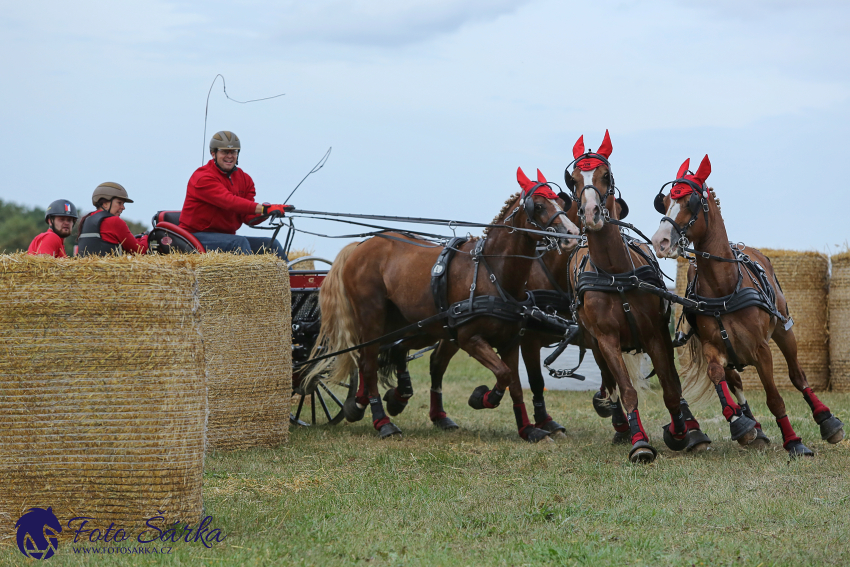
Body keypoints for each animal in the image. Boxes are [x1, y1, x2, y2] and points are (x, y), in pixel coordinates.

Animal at [308, 171, 580, 442]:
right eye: (539, 206)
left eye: (560, 201)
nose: (571, 233)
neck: (493, 274)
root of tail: (360, 246)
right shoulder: (470, 338)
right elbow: (504, 375)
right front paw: (481, 397)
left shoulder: (511, 342)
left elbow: (514, 383)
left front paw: (527, 428)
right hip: (372, 318)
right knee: (368, 363)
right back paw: (382, 420)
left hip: (414, 324)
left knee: (389, 353)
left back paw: (379, 401)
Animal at [564, 131, 704, 464]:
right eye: (573, 180)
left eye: (606, 175)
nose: (592, 214)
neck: (616, 274)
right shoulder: (606, 341)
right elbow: (627, 390)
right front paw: (639, 441)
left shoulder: (656, 334)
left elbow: (671, 387)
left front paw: (682, 431)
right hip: (594, 344)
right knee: (610, 382)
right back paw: (620, 426)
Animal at [648, 155, 840, 458]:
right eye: (664, 201)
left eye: (690, 201)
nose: (660, 241)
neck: (724, 289)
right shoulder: (713, 346)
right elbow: (717, 375)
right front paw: (740, 422)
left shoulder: (762, 349)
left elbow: (774, 397)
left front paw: (794, 441)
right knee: (734, 381)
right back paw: (753, 427)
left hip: (784, 331)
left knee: (797, 375)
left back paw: (827, 420)